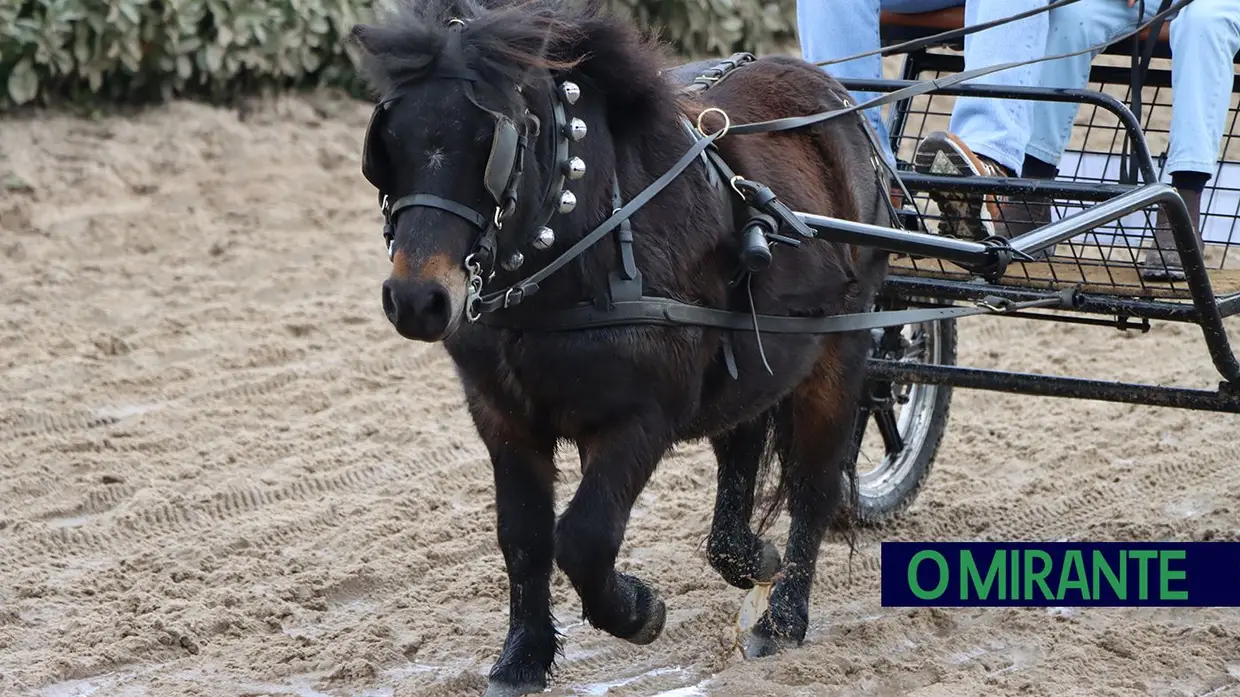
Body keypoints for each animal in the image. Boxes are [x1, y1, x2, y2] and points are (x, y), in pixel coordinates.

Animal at [348, 0, 893, 693]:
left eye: (489, 143)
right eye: (389, 142)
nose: (418, 300)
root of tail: (831, 94)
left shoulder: (641, 417)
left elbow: (582, 537)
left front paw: (639, 612)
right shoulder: (502, 416)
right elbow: (523, 535)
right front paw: (522, 658)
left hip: (842, 348)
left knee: (813, 485)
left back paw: (783, 620)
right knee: (742, 443)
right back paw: (747, 557)